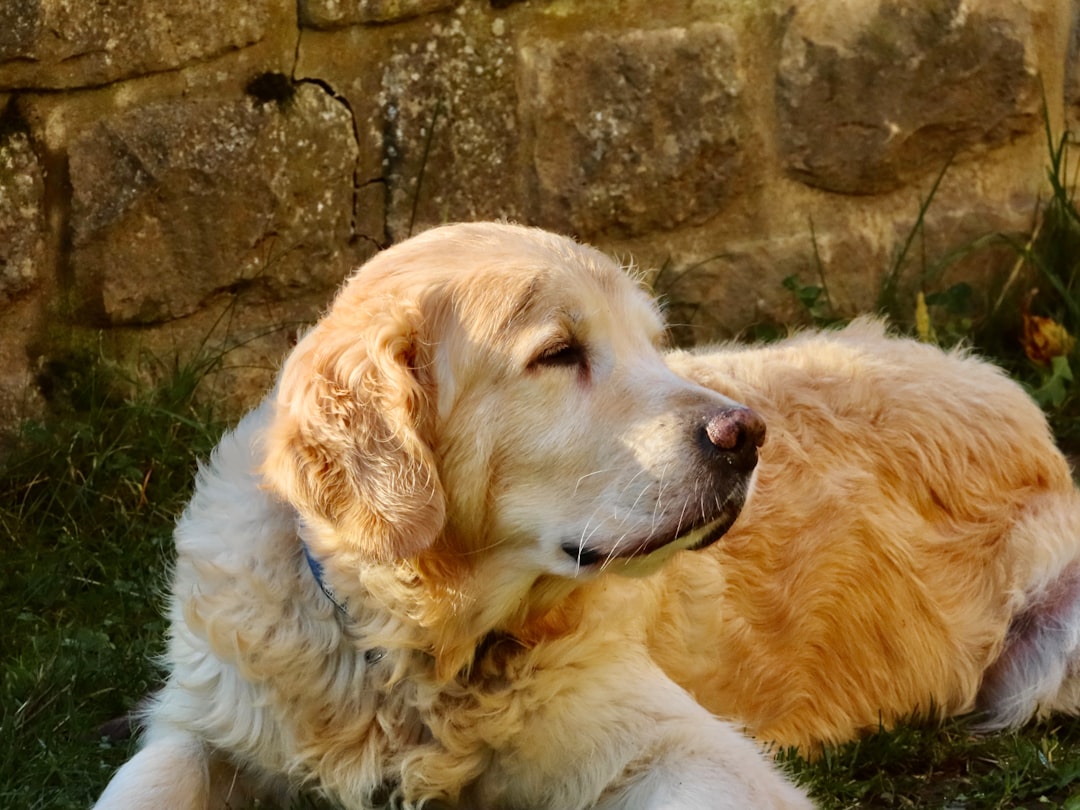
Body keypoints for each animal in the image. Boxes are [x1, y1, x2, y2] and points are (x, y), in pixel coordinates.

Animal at [95, 222, 1080, 810]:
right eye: (559, 353)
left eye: (655, 344)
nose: (747, 435)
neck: (416, 655)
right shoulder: (208, 724)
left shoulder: (674, 746)